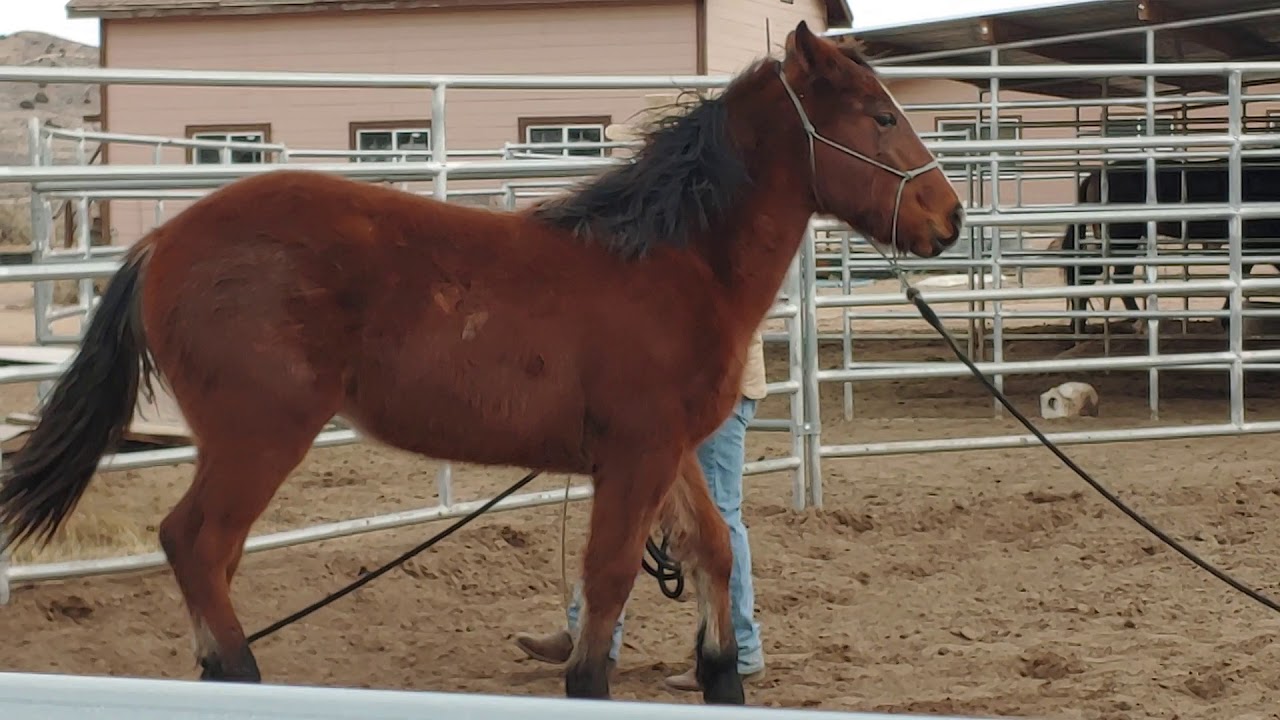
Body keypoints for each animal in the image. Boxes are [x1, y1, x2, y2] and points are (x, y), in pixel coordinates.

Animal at [0, 21, 962, 704]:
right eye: (881, 116)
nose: (948, 219)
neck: (669, 262)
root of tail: (162, 242)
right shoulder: (637, 457)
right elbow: (608, 585)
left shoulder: (668, 451)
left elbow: (715, 552)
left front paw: (722, 675)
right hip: (259, 436)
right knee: (196, 544)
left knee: (207, 556)